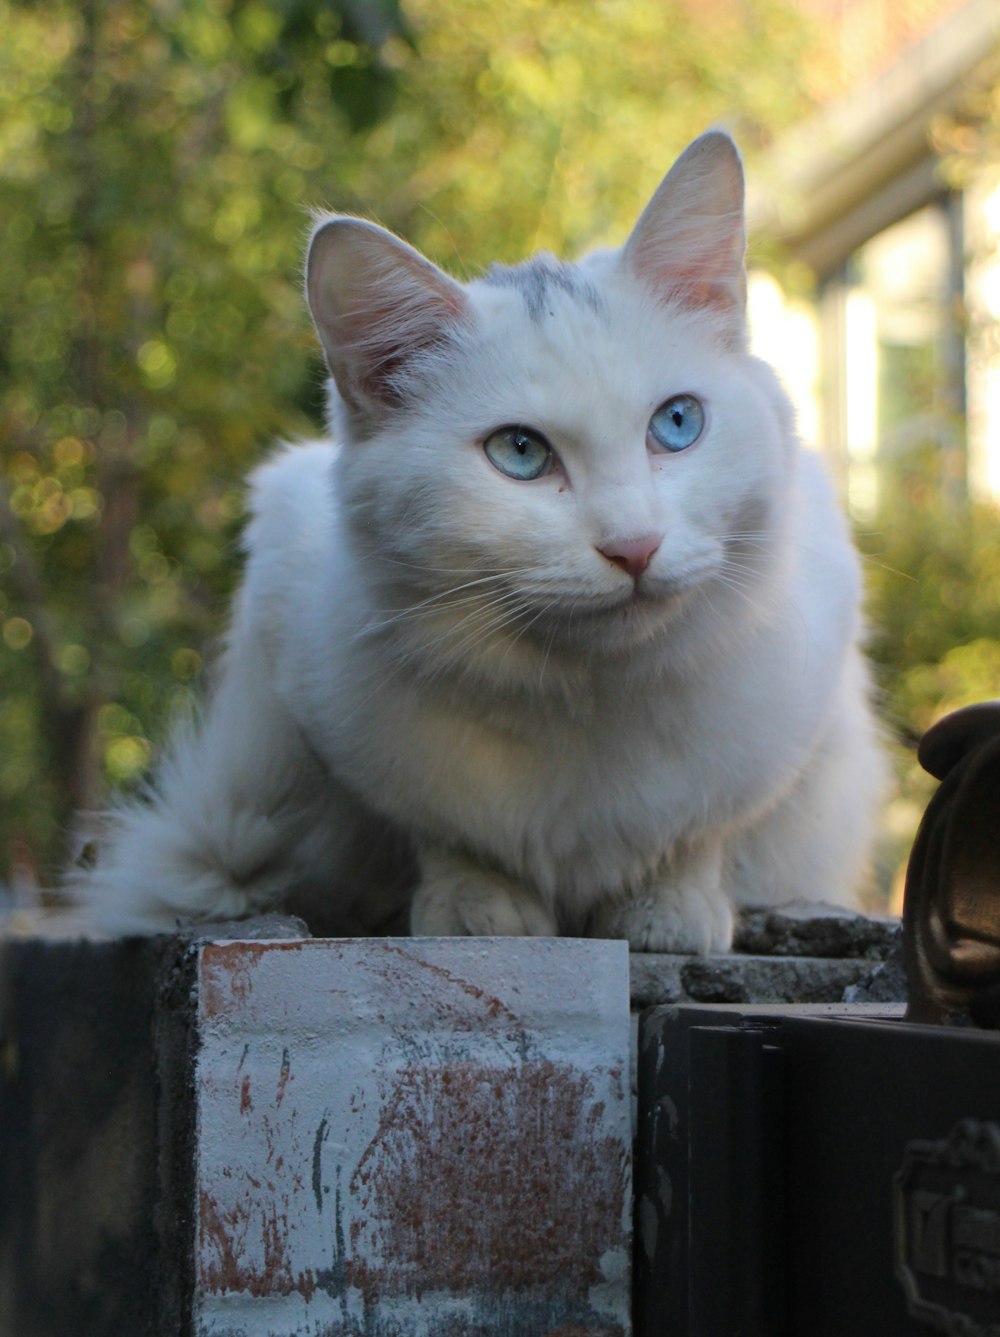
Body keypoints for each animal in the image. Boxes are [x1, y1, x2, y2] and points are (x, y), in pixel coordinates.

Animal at [80, 133, 893, 951]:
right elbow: (451, 841)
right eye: (521, 453)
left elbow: (698, 837)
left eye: (677, 423)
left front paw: (670, 910)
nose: (634, 547)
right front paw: (478, 906)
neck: (589, 701)